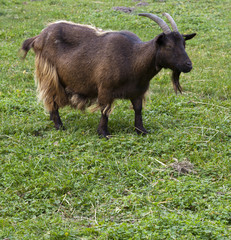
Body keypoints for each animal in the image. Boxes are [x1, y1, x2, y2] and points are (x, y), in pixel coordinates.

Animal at [20, 12, 196, 137]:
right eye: (169, 46)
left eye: (184, 43)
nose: (188, 65)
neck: (133, 57)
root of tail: (38, 37)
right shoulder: (105, 89)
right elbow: (105, 111)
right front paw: (103, 133)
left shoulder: (138, 92)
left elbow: (138, 110)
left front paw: (141, 130)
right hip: (49, 74)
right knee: (51, 98)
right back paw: (59, 126)